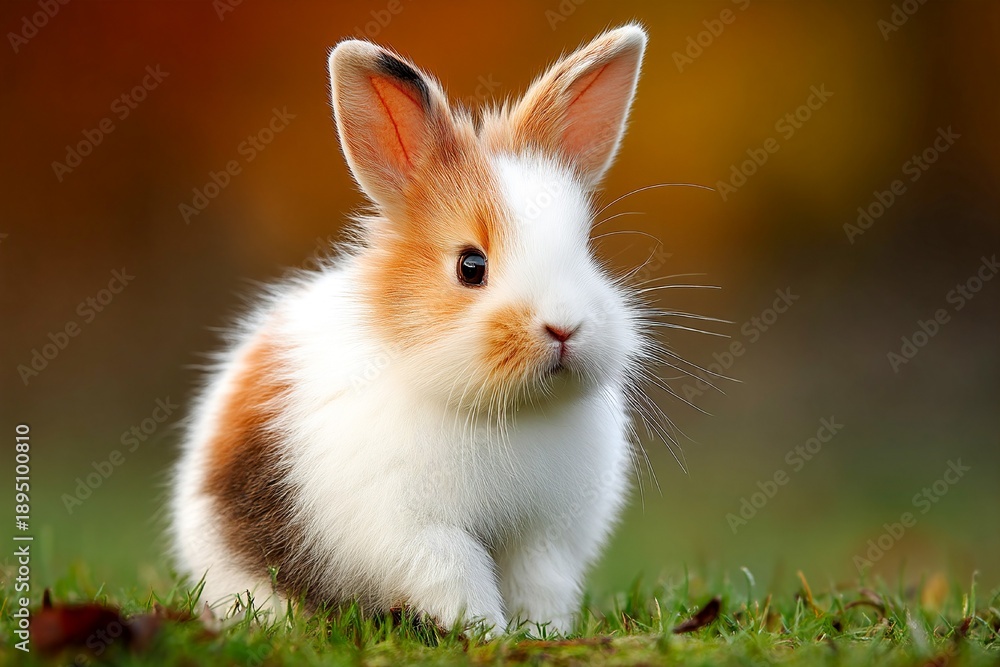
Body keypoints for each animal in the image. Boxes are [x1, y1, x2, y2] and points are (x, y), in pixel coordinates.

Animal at [170, 23, 655, 637]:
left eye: (586, 252)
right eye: (471, 266)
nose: (564, 328)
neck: (510, 410)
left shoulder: (542, 536)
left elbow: (537, 585)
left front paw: (539, 633)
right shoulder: (421, 533)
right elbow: (457, 579)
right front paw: (484, 633)